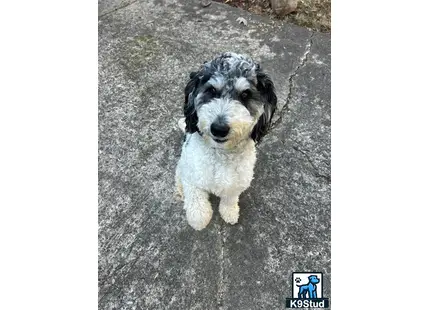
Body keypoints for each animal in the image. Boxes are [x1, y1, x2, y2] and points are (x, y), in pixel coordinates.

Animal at [176, 51, 278, 230]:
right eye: (211, 90)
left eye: (245, 94)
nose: (218, 128)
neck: (221, 154)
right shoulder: (192, 176)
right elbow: (196, 198)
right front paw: (199, 218)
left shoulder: (236, 183)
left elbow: (230, 198)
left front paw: (229, 212)